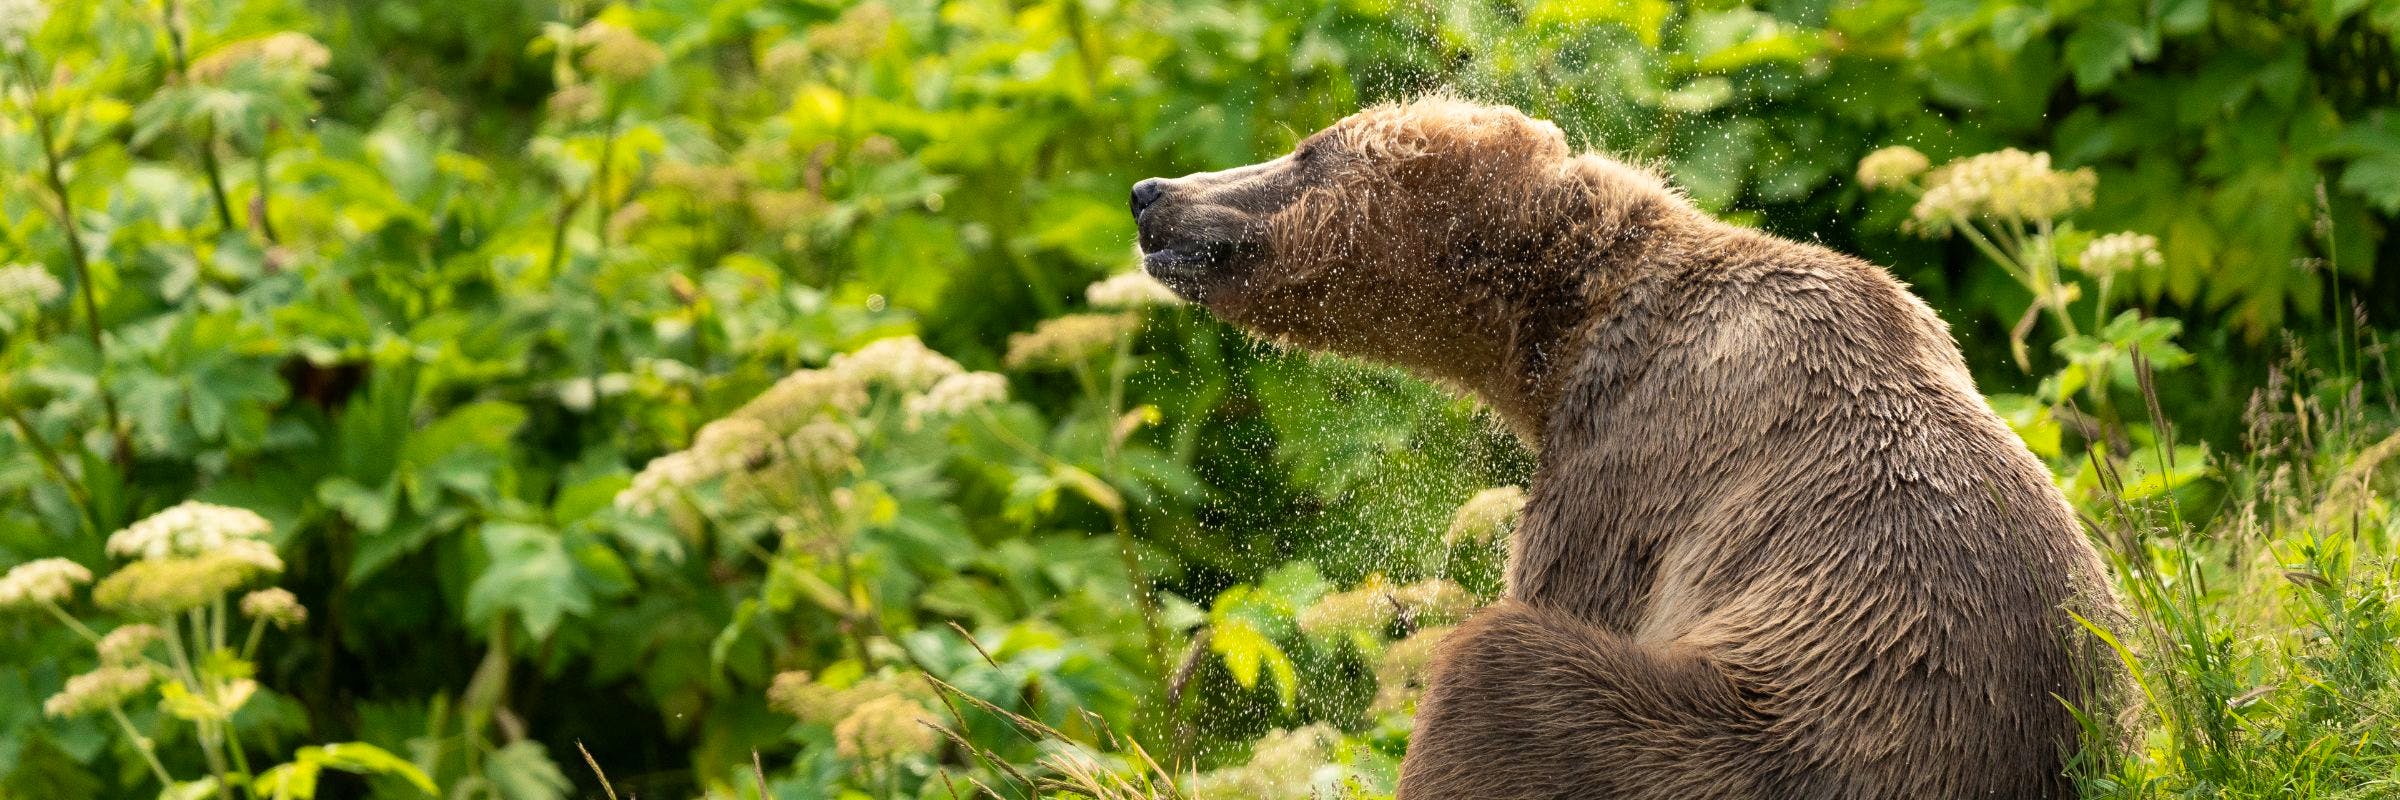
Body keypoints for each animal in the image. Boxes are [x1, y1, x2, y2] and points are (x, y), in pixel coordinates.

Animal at [1129, 95, 2125, 799]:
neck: (1562, 331)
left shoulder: (1631, 455)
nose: (1152, 194)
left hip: (1752, 739)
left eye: (1308, 151)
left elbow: (1563, 587)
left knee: (1498, 676)